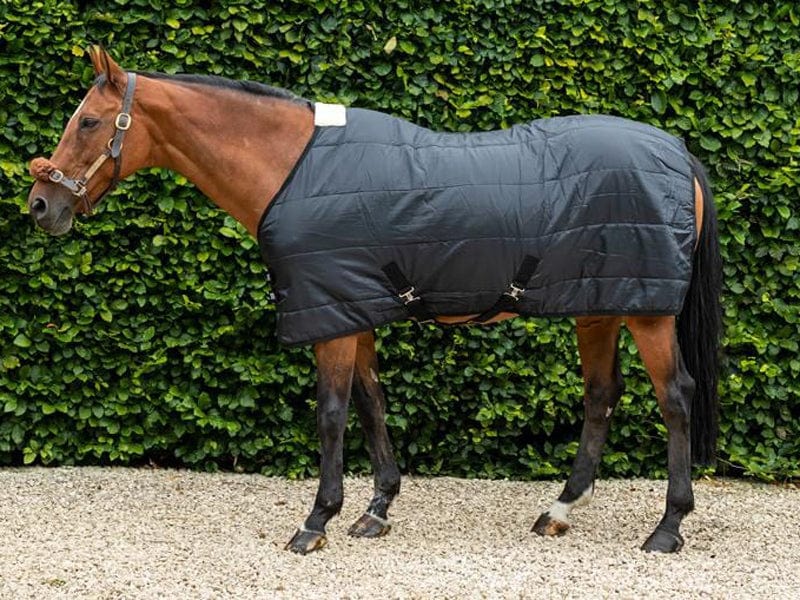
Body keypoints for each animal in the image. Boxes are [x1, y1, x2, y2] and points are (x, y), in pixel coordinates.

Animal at [27, 47, 721, 555]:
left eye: (88, 121)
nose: (40, 205)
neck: (292, 167)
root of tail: (677, 151)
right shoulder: (350, 309)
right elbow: (370, 405)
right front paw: (376, 508)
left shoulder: (330, 319)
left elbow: (332, 414)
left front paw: (316, 521)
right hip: (600, 306)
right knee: (602, 396)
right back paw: (559, 509)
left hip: (648, 313)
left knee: (675, 398)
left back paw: (667, 528)